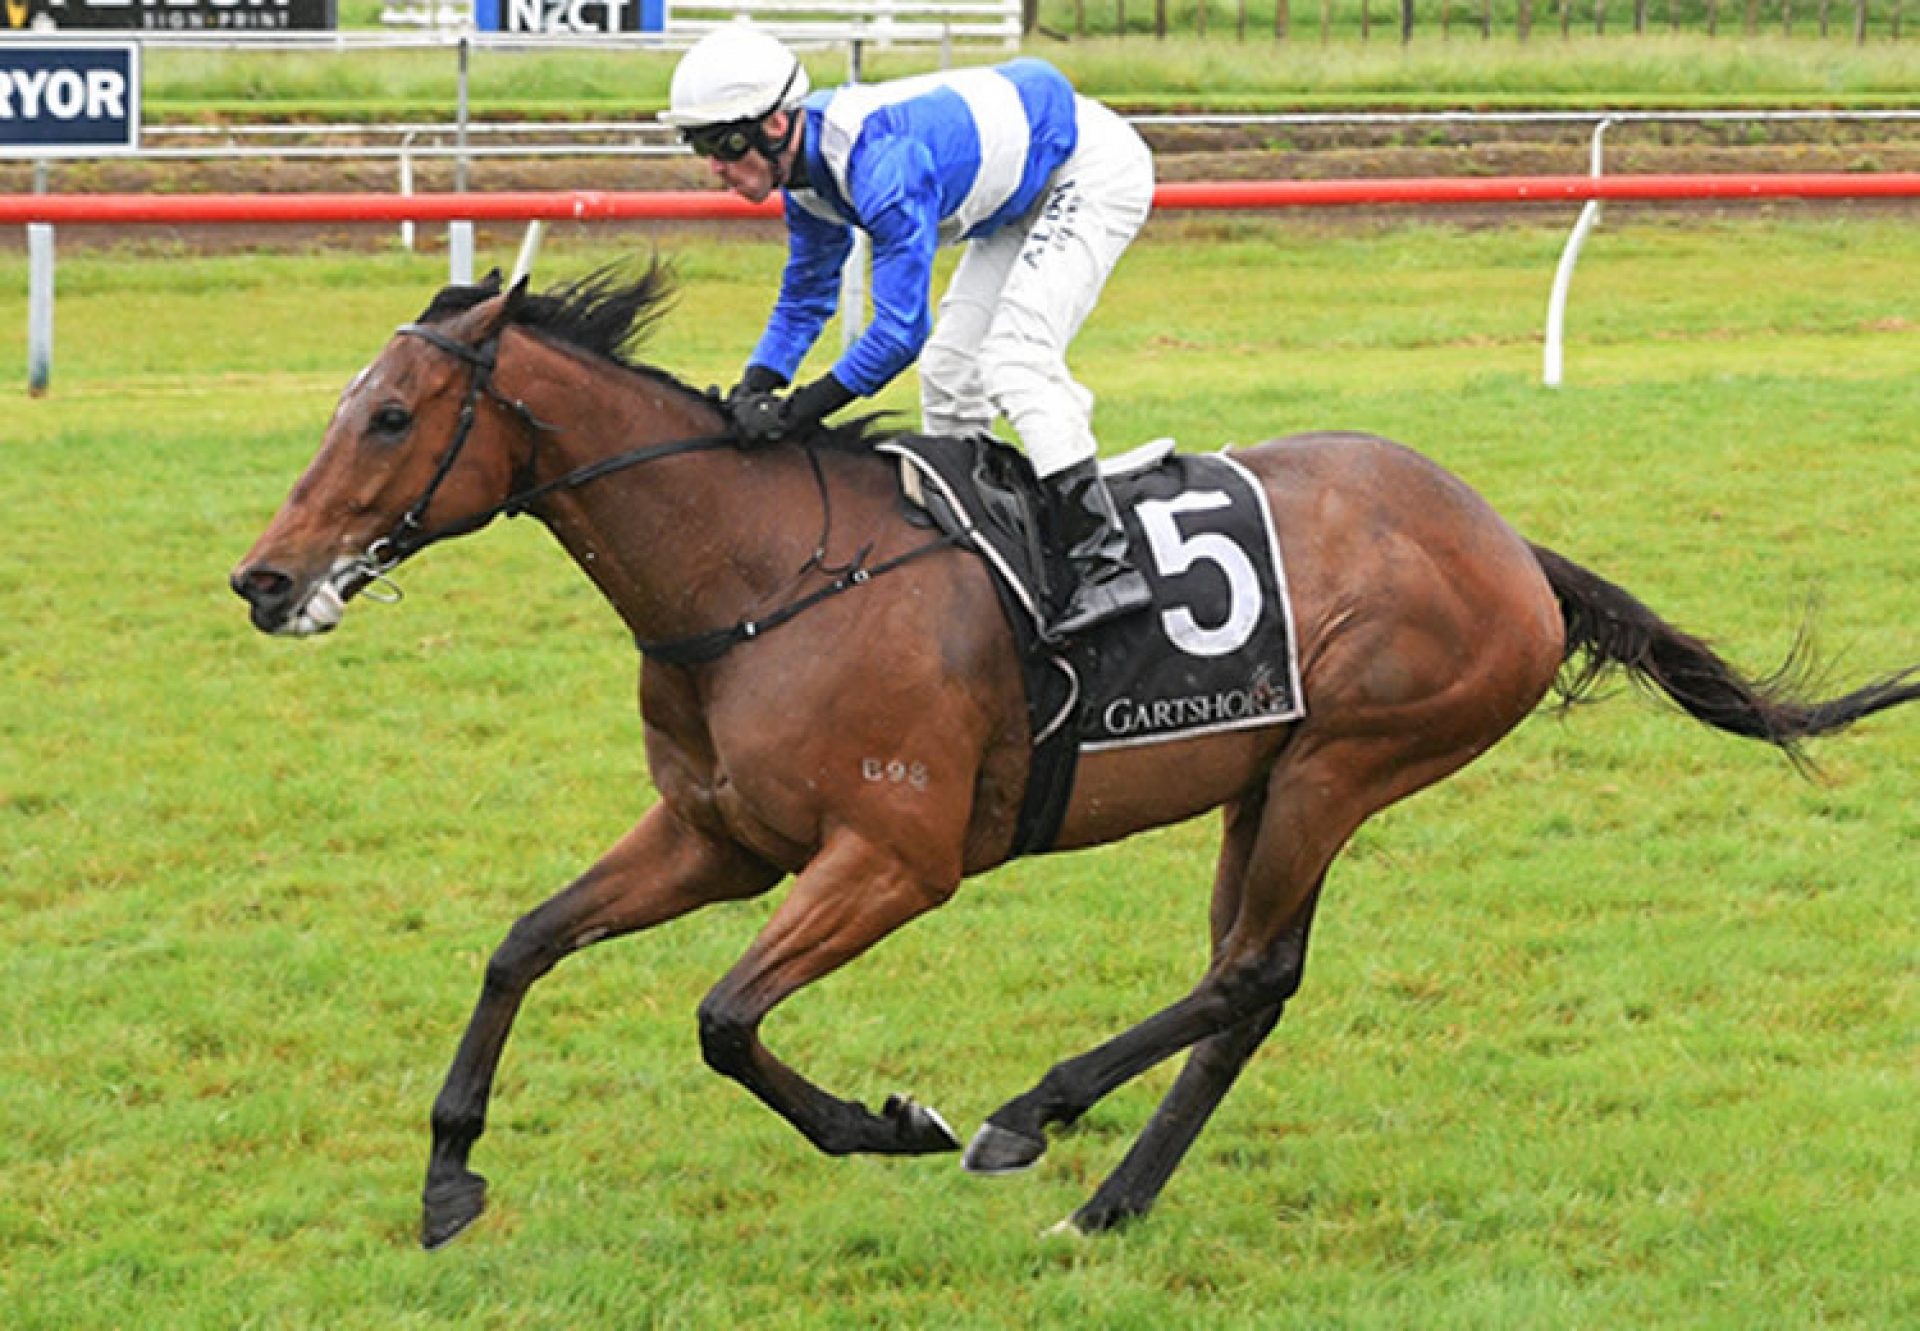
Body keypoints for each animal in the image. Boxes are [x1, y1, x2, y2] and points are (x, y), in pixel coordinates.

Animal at [232, 266, 1912, 1244]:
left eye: (390, 416)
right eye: (348, 405)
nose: (262, 576)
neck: (764, 576)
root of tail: (1510, 544)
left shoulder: (893, 858)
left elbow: (722, 1019)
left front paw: (893, 1121)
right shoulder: (720, 836)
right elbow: (522, 942)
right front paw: (450, 1172)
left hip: (1346, 761)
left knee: (1247, 973)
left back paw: (1035, 1115)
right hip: (1264, 778)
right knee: (1253, 982)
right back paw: (1111, 1196)